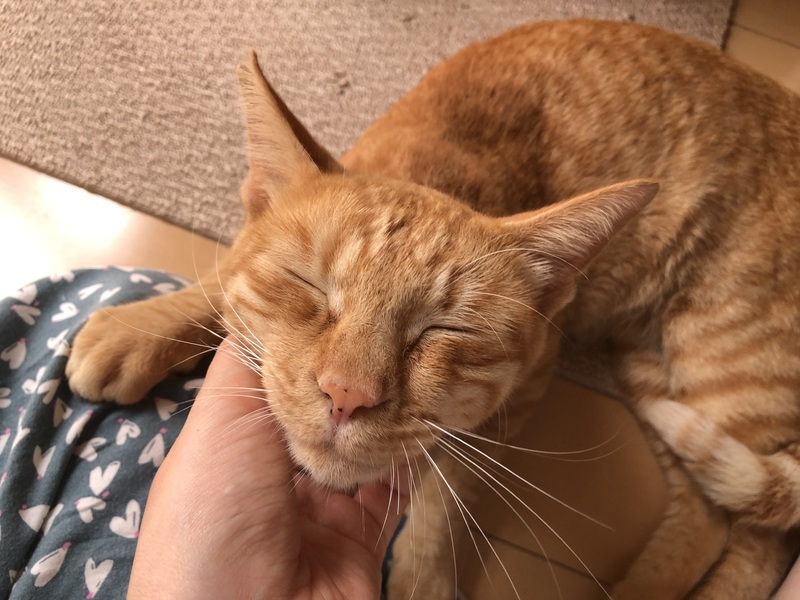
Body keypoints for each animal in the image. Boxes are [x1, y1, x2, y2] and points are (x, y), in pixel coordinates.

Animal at [65, 18, 800, 599]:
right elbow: (224, 275)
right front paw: (141, 327)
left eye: (446, 329)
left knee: (749, 535)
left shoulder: (522, 391)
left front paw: (422, 575)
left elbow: (450, 493)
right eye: (309, 286)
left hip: (724, 360)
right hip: (648, 367)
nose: (347, 395)